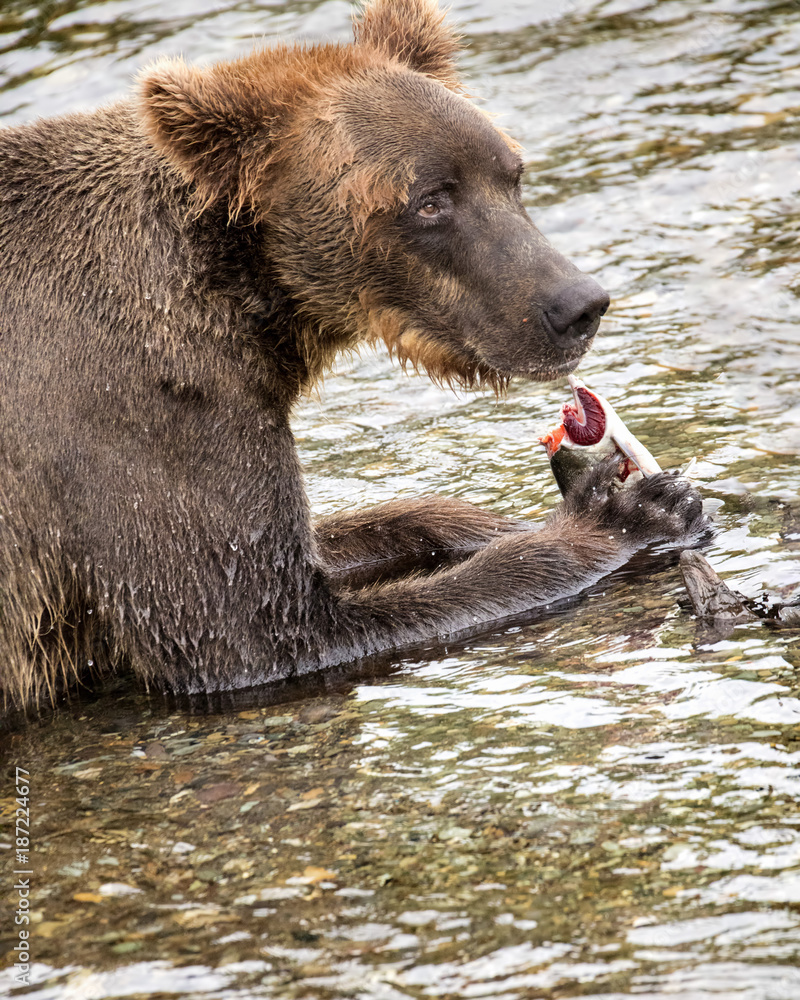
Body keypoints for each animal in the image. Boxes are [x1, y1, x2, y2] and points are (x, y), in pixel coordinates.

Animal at [0, 0, 706, 712]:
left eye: (512, 174)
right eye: (431, 199)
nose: (578, 305)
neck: (246, 298)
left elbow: (348, 533)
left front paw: (498, 519)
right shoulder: (140, 406)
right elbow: (257, 629)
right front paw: (623, 514)